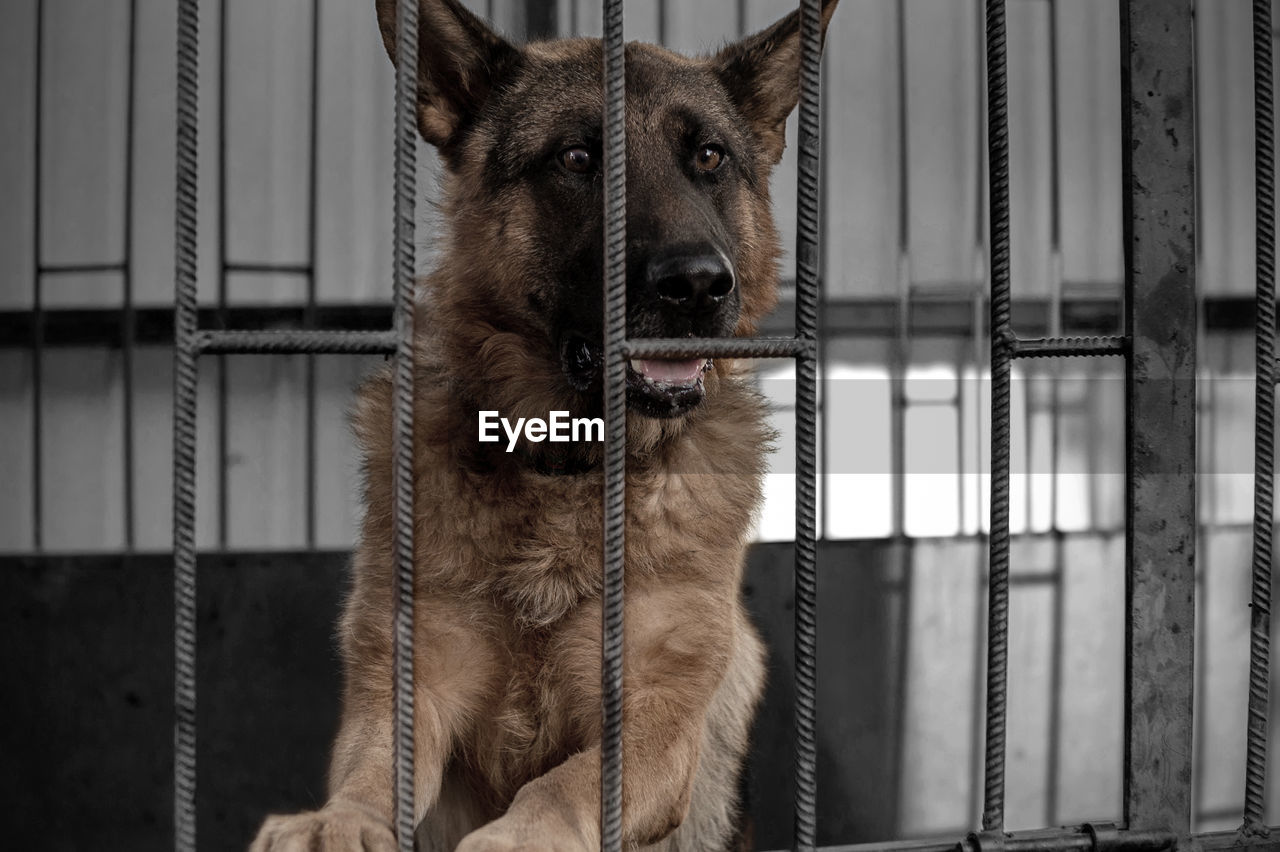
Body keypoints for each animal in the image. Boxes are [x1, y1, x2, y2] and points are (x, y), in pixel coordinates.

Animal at [249, 3, 839, 844]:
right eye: (578, 158)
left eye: (711, 157)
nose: (697, 285)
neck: (568, 470)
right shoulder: (409, 673)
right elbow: (373, 767)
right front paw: (339, 820)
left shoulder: (656, 717)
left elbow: (567, 782)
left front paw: (521, 835)